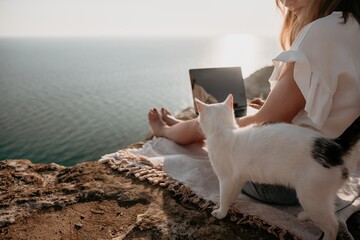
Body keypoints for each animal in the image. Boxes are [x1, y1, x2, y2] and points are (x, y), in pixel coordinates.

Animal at [197, 94, 360, 240]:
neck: (223, 130)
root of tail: (335, 146)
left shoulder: (227, 179)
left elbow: (224, 197)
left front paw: (221, 212)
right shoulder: (237, 179)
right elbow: (231, 195)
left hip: (310, 194)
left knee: (333, 226)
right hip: (317, 197)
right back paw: (305, 215)